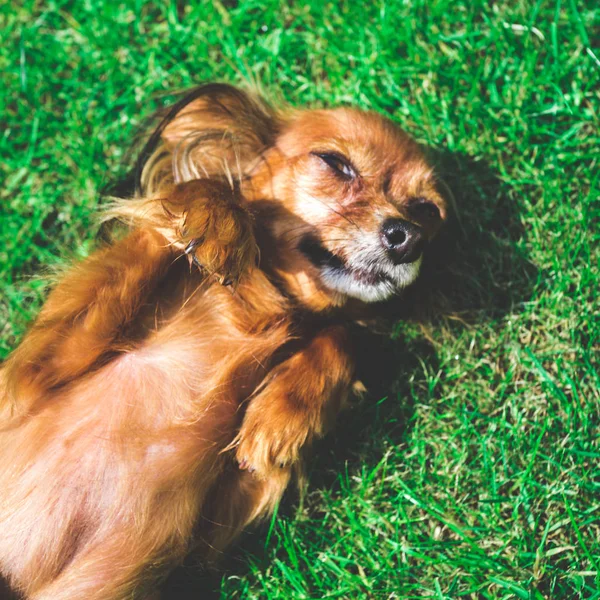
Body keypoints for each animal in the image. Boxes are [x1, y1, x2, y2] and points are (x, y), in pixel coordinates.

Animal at [0, 84, 446, 600]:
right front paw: (213, 221)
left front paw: (282, 415)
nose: (410, 237)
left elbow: (342, 336)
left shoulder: (218, 518)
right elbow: (200, 194)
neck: (255, 309)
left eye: (427, 211)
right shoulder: (32, 377)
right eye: (336, 163)